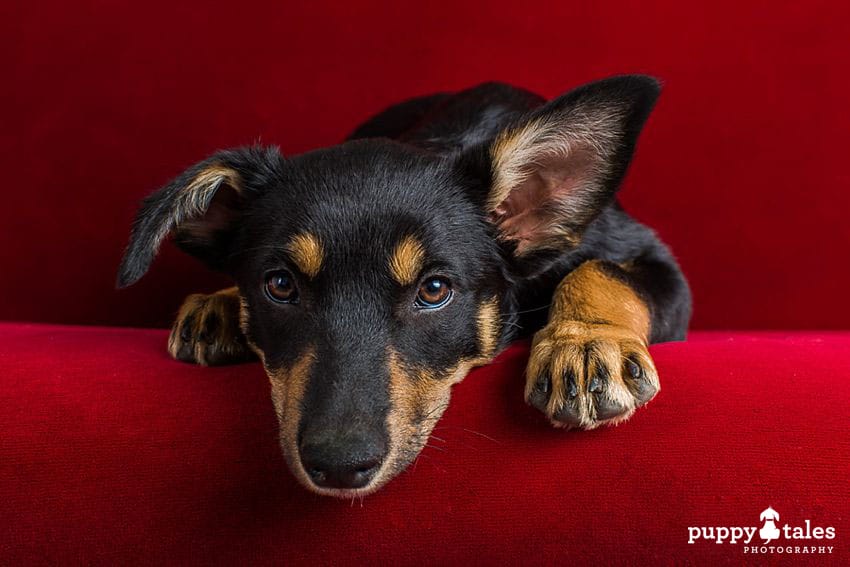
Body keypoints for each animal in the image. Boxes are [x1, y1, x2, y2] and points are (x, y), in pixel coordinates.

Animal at [117, 74, 688, 496]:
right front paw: (223, 302)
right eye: (279, 285)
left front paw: (587, 344)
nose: (339, 466)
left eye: (434, 291)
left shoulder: (661, 271)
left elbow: (601, 271)